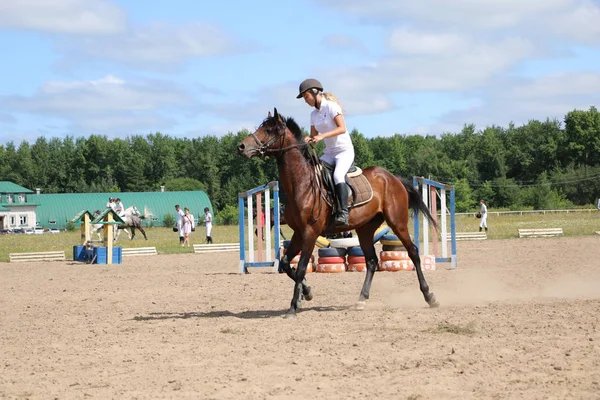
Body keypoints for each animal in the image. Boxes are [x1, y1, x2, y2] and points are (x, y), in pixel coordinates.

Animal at [237, 108, 438, 318]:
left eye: (269, 130)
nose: (241, 147)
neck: (300, 184)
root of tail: (393, 178)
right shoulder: (299, 233)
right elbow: (285, 264)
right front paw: (306, 293)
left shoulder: (310, 233)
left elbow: (301, 268)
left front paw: (293, 307)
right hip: (366, 229)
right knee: (371, 261)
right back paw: (361, 299)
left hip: (397, 222)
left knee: (413, 252)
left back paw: (429, 296)